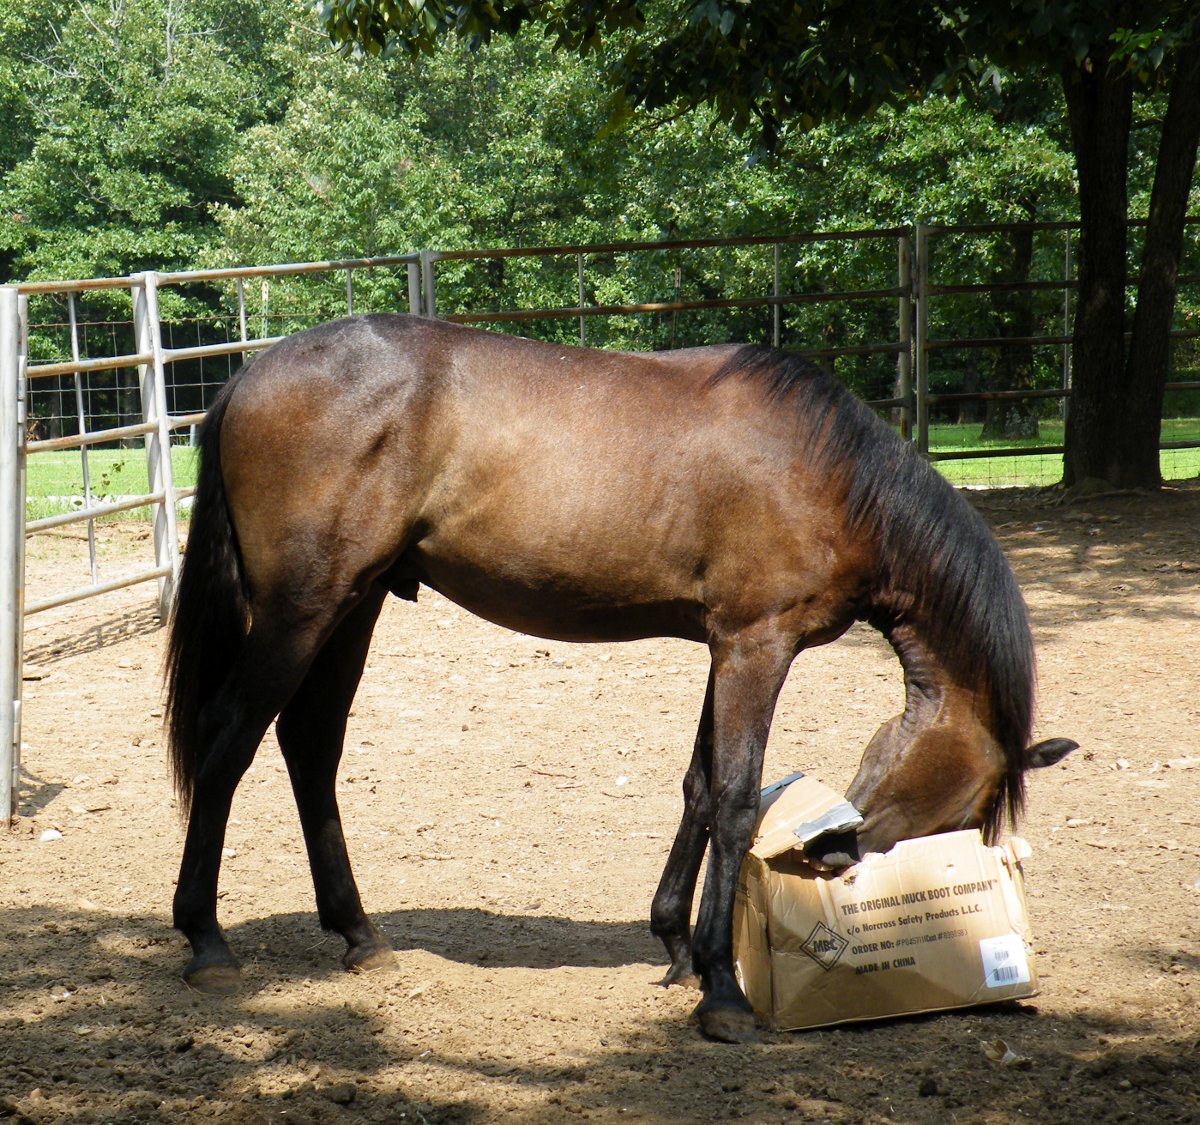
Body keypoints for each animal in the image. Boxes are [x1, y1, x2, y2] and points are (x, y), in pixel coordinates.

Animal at [164, 314, 1075, 1042]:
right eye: (971, 804)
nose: (840, 852)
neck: (834, 474)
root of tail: (244, 380)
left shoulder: (723, 644)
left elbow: (701, 786)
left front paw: (676, 945)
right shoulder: (758, 644)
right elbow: (735, 797)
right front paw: (721, 990)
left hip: (354, 603)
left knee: (309, 744)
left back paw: (357, 931)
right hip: (302, 607)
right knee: (229, 738)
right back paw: (206, 940)